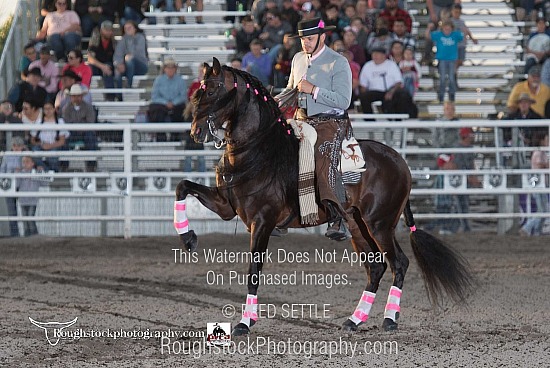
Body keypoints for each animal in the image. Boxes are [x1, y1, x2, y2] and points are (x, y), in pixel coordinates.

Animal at [176, 57, 474, 336]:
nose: (195, 132)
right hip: (357, 226)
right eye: (197, 92)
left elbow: (253, 271)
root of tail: (400, 162)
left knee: (398, 263)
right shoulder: (226, 206)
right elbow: (183, 186)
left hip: (380, 224)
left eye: (212, 90)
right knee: (376, 267)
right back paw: (354, 320)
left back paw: (389, 320)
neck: (259, 150)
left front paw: (245, 322)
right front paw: (188, 238)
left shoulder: (262, 221)